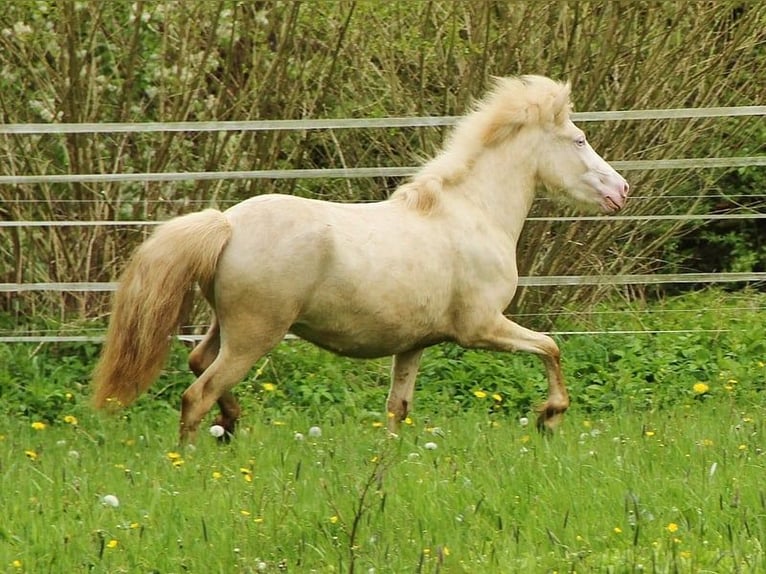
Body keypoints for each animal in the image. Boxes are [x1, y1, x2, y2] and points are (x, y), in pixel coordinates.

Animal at [91, 75, 632, 446]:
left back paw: (231, 424)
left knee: (198, 363)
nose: (622, 190)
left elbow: (398, 408)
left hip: (227, 327)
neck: (471, 213)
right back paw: (191, 461)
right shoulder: (481, 327)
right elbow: (551, 347)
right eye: (580, 140)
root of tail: (226, 224)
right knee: (195, 395)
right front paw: (550, 417)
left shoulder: (414, 345)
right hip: (254, 335)